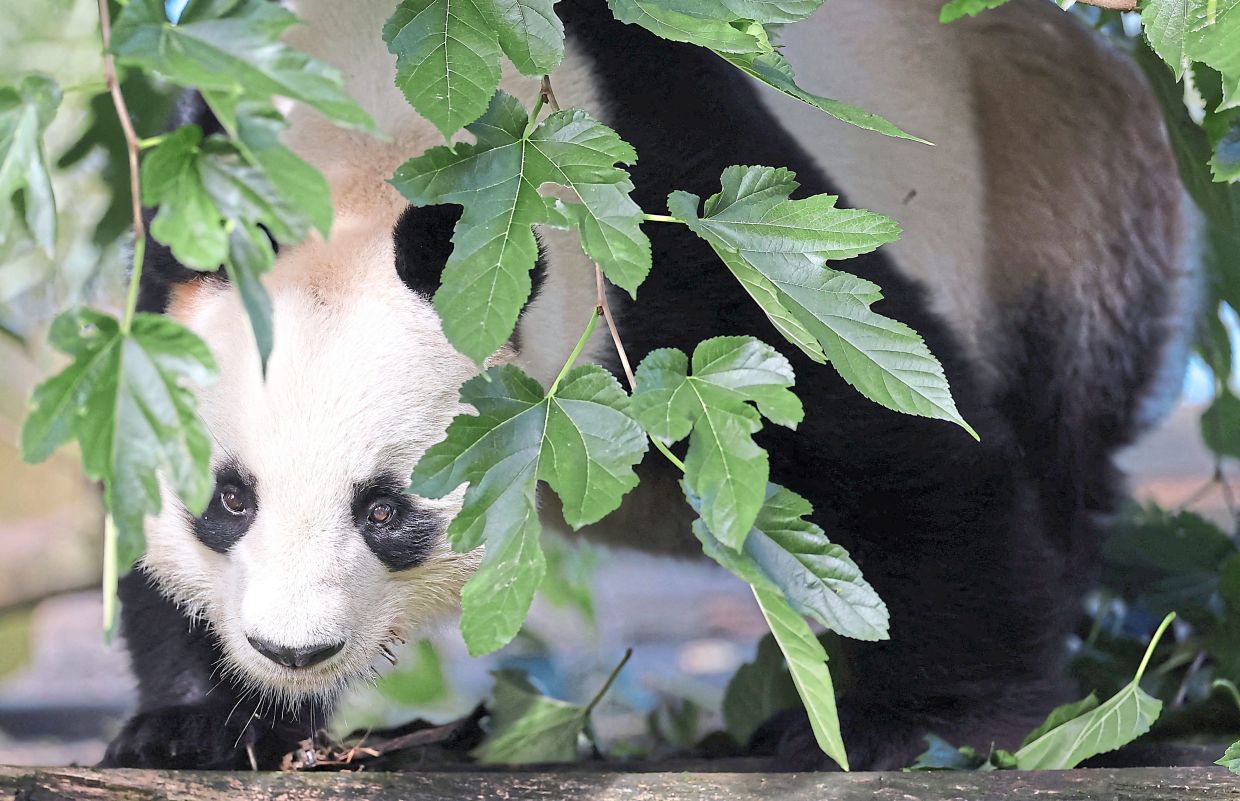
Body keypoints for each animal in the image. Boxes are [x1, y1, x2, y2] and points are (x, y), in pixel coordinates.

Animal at [101, 0, 1190, 772]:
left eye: (385, 510)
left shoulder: (659, 207)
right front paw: (201, 722)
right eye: (229, 500)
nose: (291, 651)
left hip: (1049, 186)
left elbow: (887, 444)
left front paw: (925, 721)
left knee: (1060, 435)